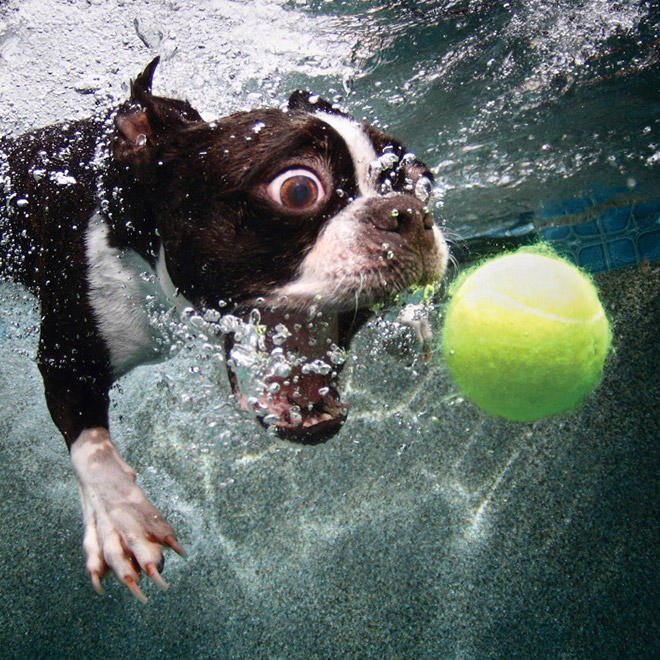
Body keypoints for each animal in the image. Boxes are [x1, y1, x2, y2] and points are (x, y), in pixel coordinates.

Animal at [0, 59, 448, 600]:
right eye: (299, 190)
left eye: (421, 182)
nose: (411, 211)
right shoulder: (68, 352)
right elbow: (89, 442)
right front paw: (120, 516)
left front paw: (411, 323)